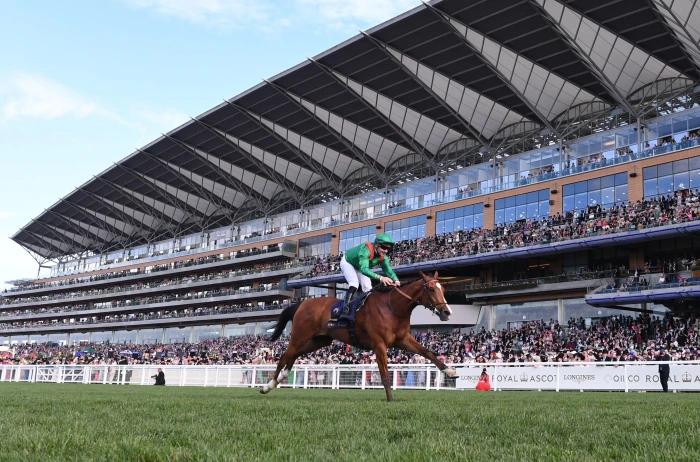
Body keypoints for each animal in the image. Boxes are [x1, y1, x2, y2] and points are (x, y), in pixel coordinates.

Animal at [260, 270, 456, 400]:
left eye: (444, 290)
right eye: (431, 289)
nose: (447, 312)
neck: (392, 308)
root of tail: (301, 304)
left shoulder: (403, 340)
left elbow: (427, 352)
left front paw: (450, 371)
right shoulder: (379, 344)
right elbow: (384, 373)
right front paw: (390, 399)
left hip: (320, 340)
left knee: (294, 354)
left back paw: (280, 378)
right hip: (300, 336)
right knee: (285, 355)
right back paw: (267, 386)